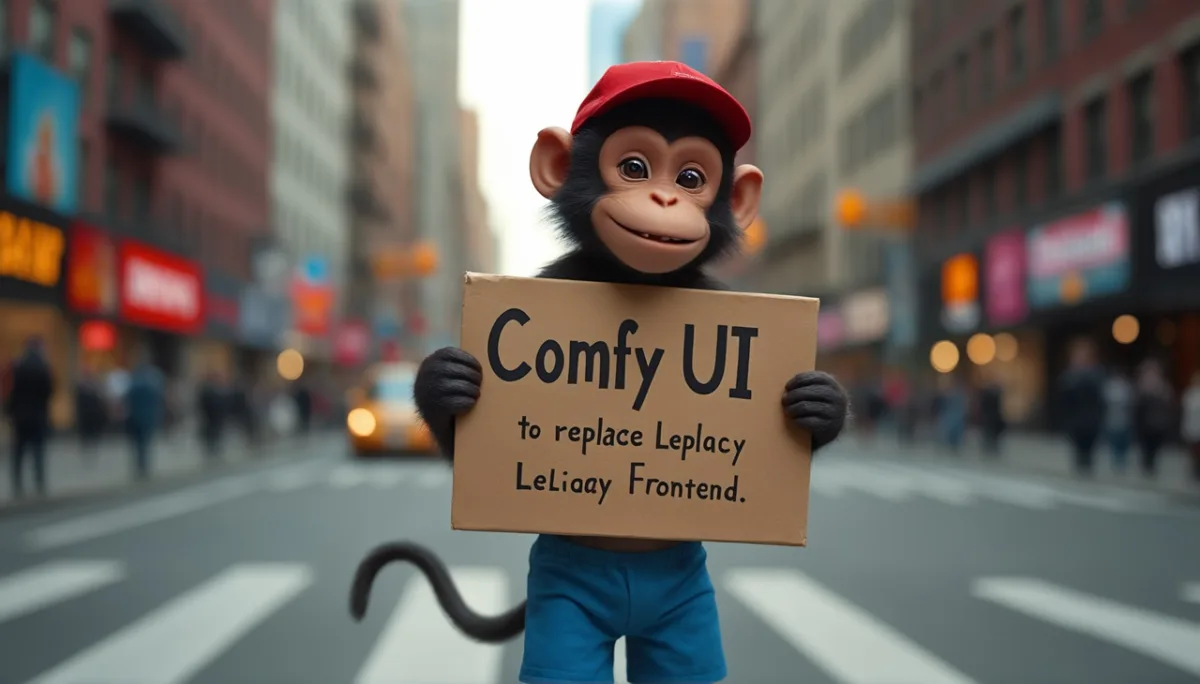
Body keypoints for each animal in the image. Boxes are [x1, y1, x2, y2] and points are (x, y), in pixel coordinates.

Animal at [350, 61, 849, 676]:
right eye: (633, 168)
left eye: (691, 177)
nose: (663, 198)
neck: (635, 277)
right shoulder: (558, 277)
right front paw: (444, 383)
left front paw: (822, 404)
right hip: (561, 594)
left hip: (686, 607)